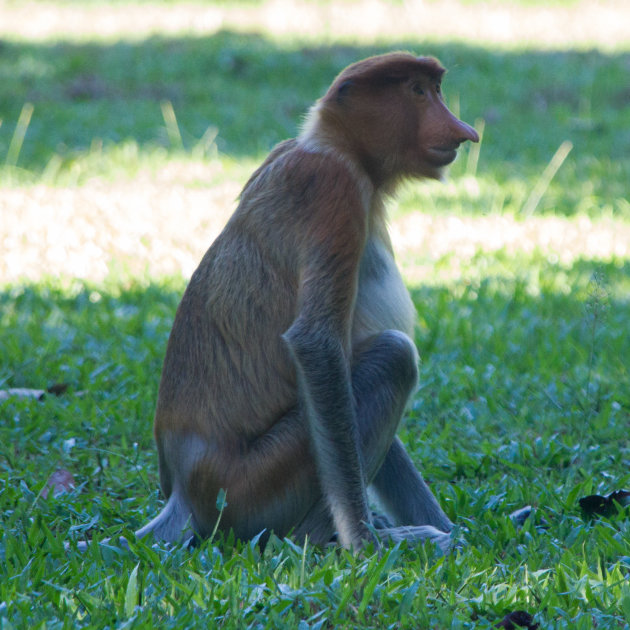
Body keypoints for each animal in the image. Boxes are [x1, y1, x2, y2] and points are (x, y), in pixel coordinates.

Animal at [137, 53, 478, 552]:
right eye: (418, 91)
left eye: (435, 90)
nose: (464, 131)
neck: (337, 148)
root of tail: (184, 490)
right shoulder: (333, 192)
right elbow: (317, 346)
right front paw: (364, 542)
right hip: (252, 484)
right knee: (392, 357)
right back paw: (321, 538)